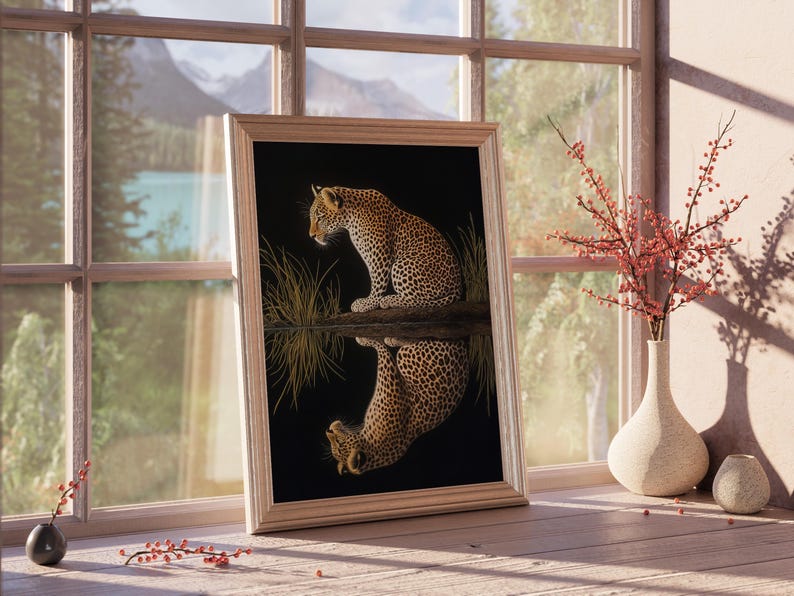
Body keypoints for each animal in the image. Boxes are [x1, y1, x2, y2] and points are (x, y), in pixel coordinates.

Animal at [308, 185, 462, 313]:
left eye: (320, 217)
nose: (311, 236)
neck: (350, 219)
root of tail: (458, 286)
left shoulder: (380, 257)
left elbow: (378, 281)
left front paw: (369, 303)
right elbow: (374, 277)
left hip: (402, 264)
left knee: (421, 300)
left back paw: (389, 300)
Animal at [326, 336, 469, 476]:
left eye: (339, 443)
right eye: (334, 446)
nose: (328, 430)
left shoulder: (390, 378)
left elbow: (379, 346)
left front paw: (363, 339)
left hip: (405, 354)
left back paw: (392, 339)